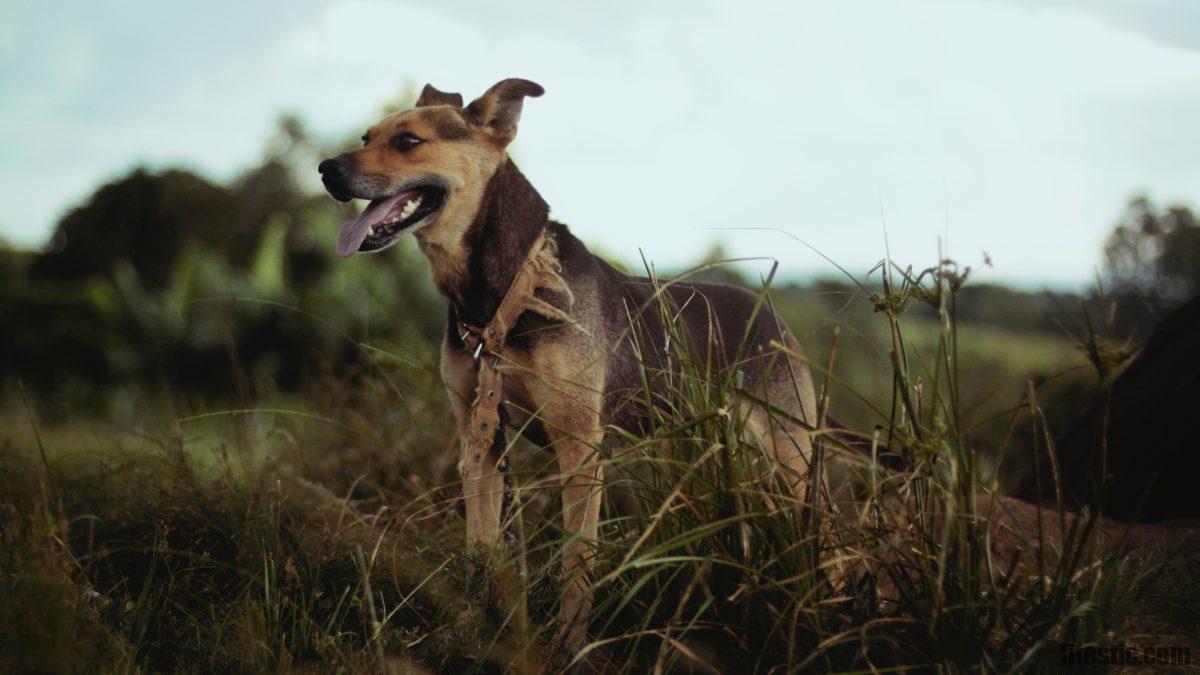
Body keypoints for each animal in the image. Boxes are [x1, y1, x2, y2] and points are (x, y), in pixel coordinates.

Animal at [314, 79, 820, 653]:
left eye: (407, 141)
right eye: (366, 137)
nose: (326, 170)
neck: (504, 291)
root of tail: (773, 315)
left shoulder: (579, 447)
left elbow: (576, 562)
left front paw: (570, 646)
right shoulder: (479, 438)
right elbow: (481, 546)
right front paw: (477, 626)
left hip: (789, 458)